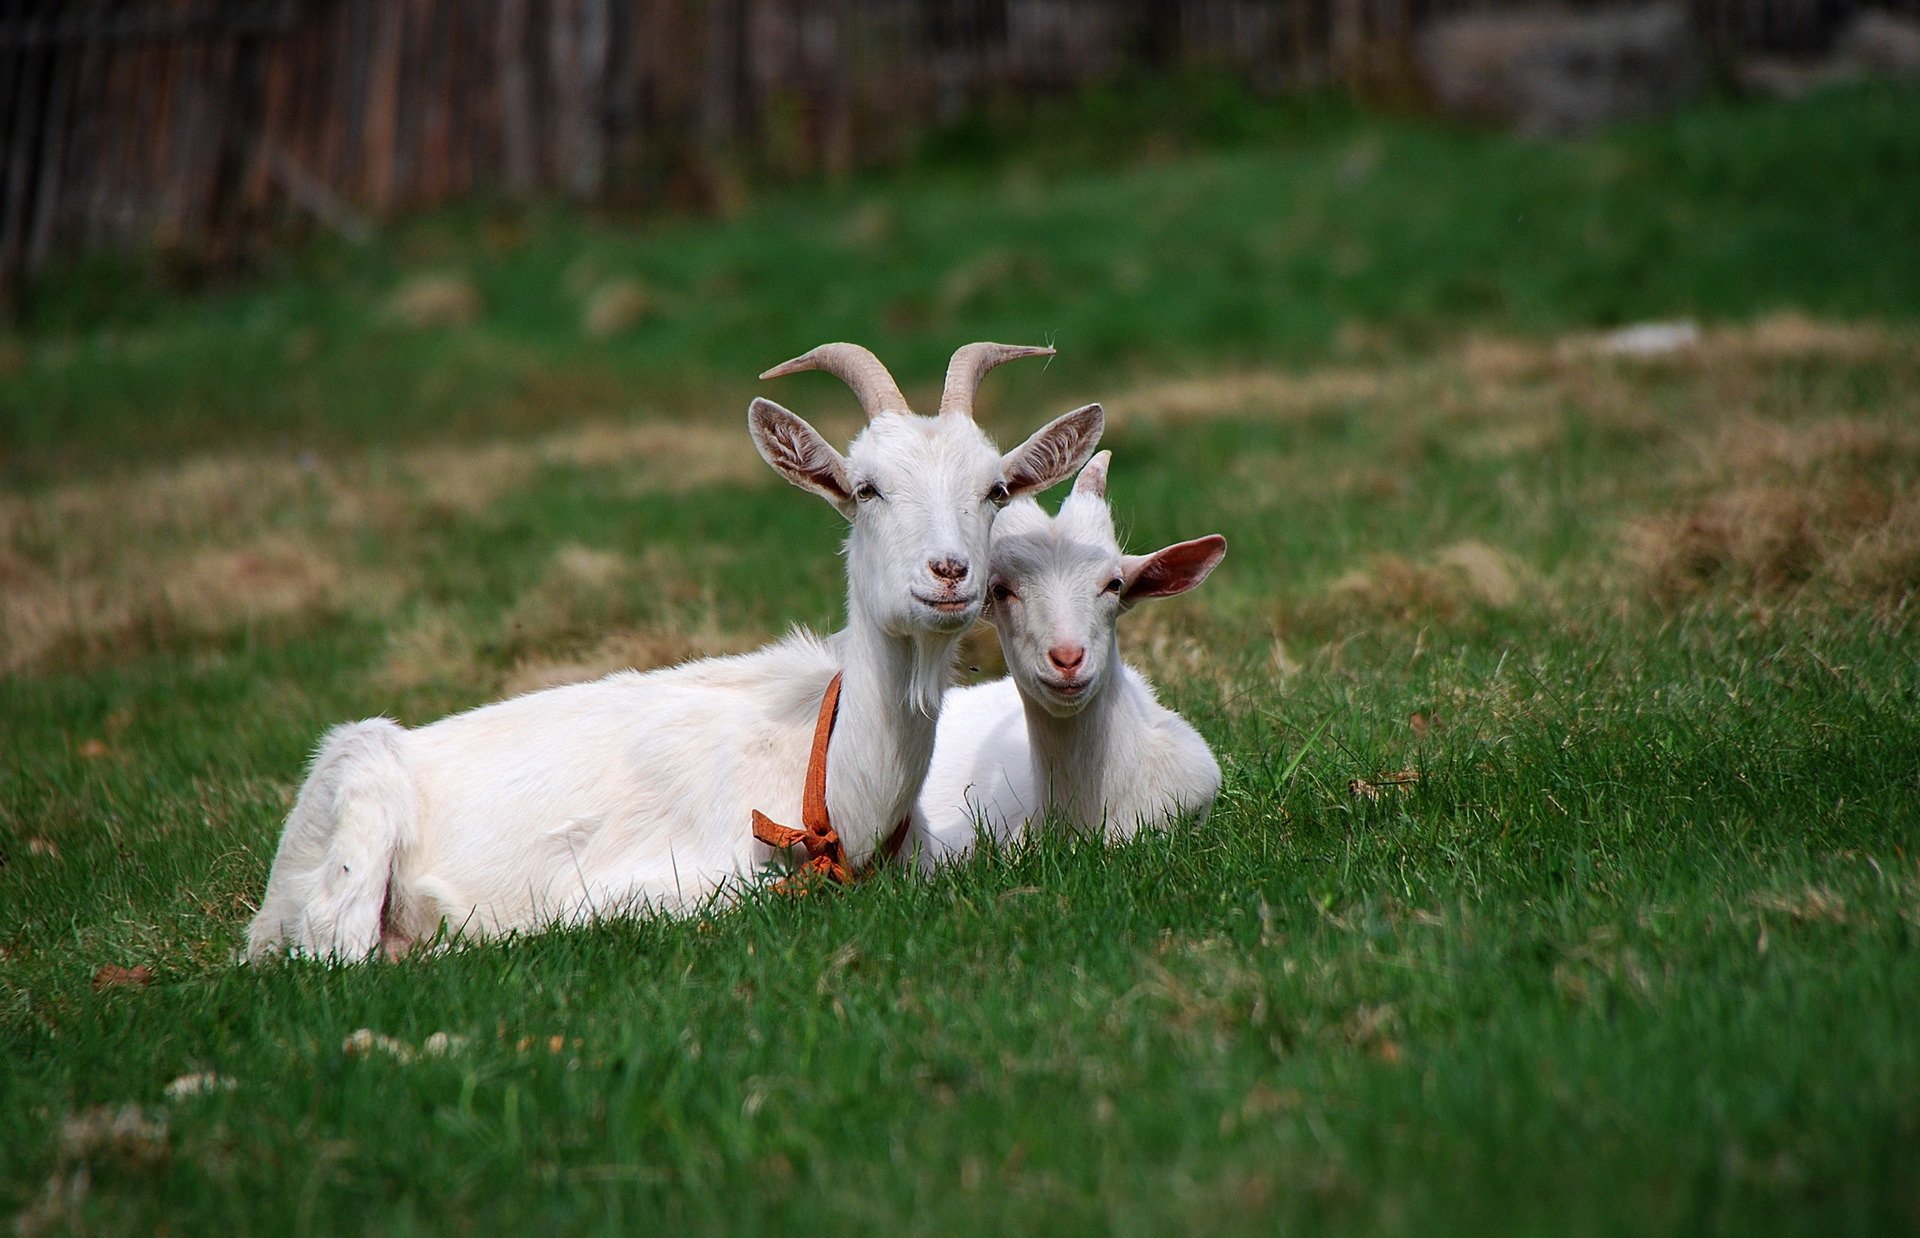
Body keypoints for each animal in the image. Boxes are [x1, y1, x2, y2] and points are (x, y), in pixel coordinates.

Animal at [247, 343, 1105, 959]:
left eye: (994, 490)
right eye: (866, 488)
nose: (950, 572)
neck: (831, 782)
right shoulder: (644, 879)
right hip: (362, 812)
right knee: (336, 947)